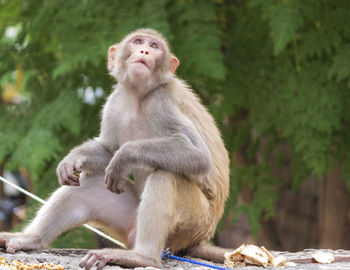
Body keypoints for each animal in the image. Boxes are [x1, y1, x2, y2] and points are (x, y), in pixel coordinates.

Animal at [0, 28, 230, 268]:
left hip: (193, 224)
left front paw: (125, 156)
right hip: (132, 222)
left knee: (167, 175)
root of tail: (198, 240)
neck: (138, 98)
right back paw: (30, 238)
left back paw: (142, 257)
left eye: (155, 46)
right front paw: (75, 158)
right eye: (138, 41)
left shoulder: (162, 103)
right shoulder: (114, 104)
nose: (145, 50)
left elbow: (198, 155)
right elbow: (108, 150)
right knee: (89, 185)